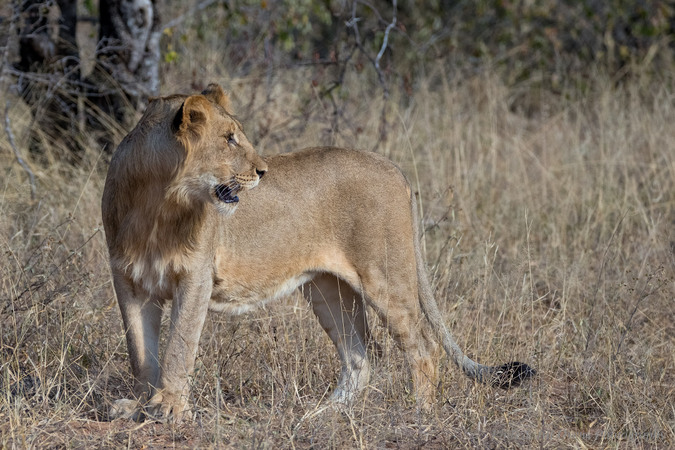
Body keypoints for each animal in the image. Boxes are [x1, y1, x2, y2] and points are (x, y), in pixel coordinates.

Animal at [101, 82, 532, 420]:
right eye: (229, 138)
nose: (262, 171)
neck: (157, 201)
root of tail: (394, 167)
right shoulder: (128, 281)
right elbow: (141, 351)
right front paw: (140, 406)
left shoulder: (196, 278)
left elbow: (179, 345)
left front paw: (170, 408)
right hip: (327, 289)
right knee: (361, 354)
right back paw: (324, 413)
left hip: (385, 278)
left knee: (423, 346)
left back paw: (420, 413)